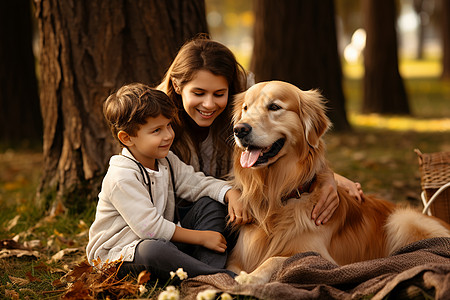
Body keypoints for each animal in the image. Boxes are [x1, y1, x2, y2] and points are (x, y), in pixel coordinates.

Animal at [227, 79, 450, 284]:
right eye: (245, 108)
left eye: (274, 107)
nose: (239, 129)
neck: (278, 194)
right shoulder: (235, 258)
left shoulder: (318, 256)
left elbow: (277, 259)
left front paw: (249, 278)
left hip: (402, 219)